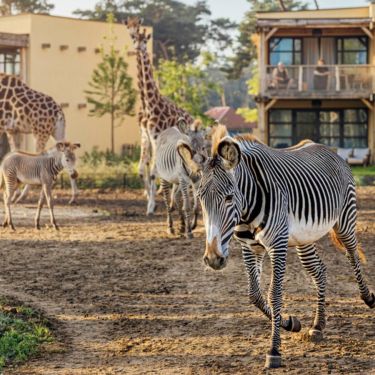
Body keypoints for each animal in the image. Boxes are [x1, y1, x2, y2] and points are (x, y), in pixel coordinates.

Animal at [0, 73, 78, 203]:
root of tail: (59, 113)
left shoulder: (4, 127)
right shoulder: (11, 130)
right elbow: (14, 153)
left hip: (40, 133)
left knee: (39, 157)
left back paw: (23, 196)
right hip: (58, 132)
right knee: (67, 149)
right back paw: (73, 196)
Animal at [128, 19, 195, 214]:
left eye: (145, 39)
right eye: (132, 36)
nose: (138, 47)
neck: (149, 104)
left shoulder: (155, 137)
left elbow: (152, 171)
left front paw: (151, 205)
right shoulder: (145, 135)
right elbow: (142, 168)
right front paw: (150, 200)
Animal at [178, 125, 374, 370]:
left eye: (229, 197)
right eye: (201, 198)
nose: (213, 258)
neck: (246, 210)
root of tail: (327, 149)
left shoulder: (277, 245)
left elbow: (274, 294)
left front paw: (274, 351)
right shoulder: (249, 247)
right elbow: (254, 294)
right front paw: (290, 323)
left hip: (345, 221)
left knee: (352, 254)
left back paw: (368, 297)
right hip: (303, 239)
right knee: (319, 271)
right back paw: (317, 326)